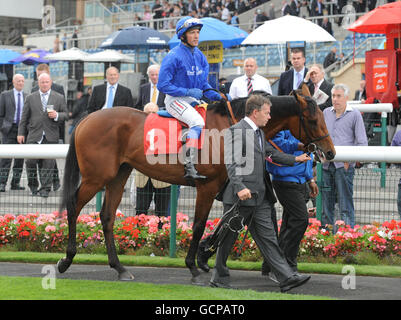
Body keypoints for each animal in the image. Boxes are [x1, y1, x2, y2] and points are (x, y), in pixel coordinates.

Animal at [56, 89, 334, 284]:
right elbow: (200, 223)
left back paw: (120, 268)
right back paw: (66, 259)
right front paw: (194, 264)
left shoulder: (226, 185)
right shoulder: (208, 186)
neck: (228, 127)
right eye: (312, 119)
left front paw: (205, 255)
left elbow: (228, 220)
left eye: (323, 116)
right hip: (96, 177)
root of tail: (85, 120)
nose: (329, 152)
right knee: (73, 206)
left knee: (107, 216)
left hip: (118, 174)